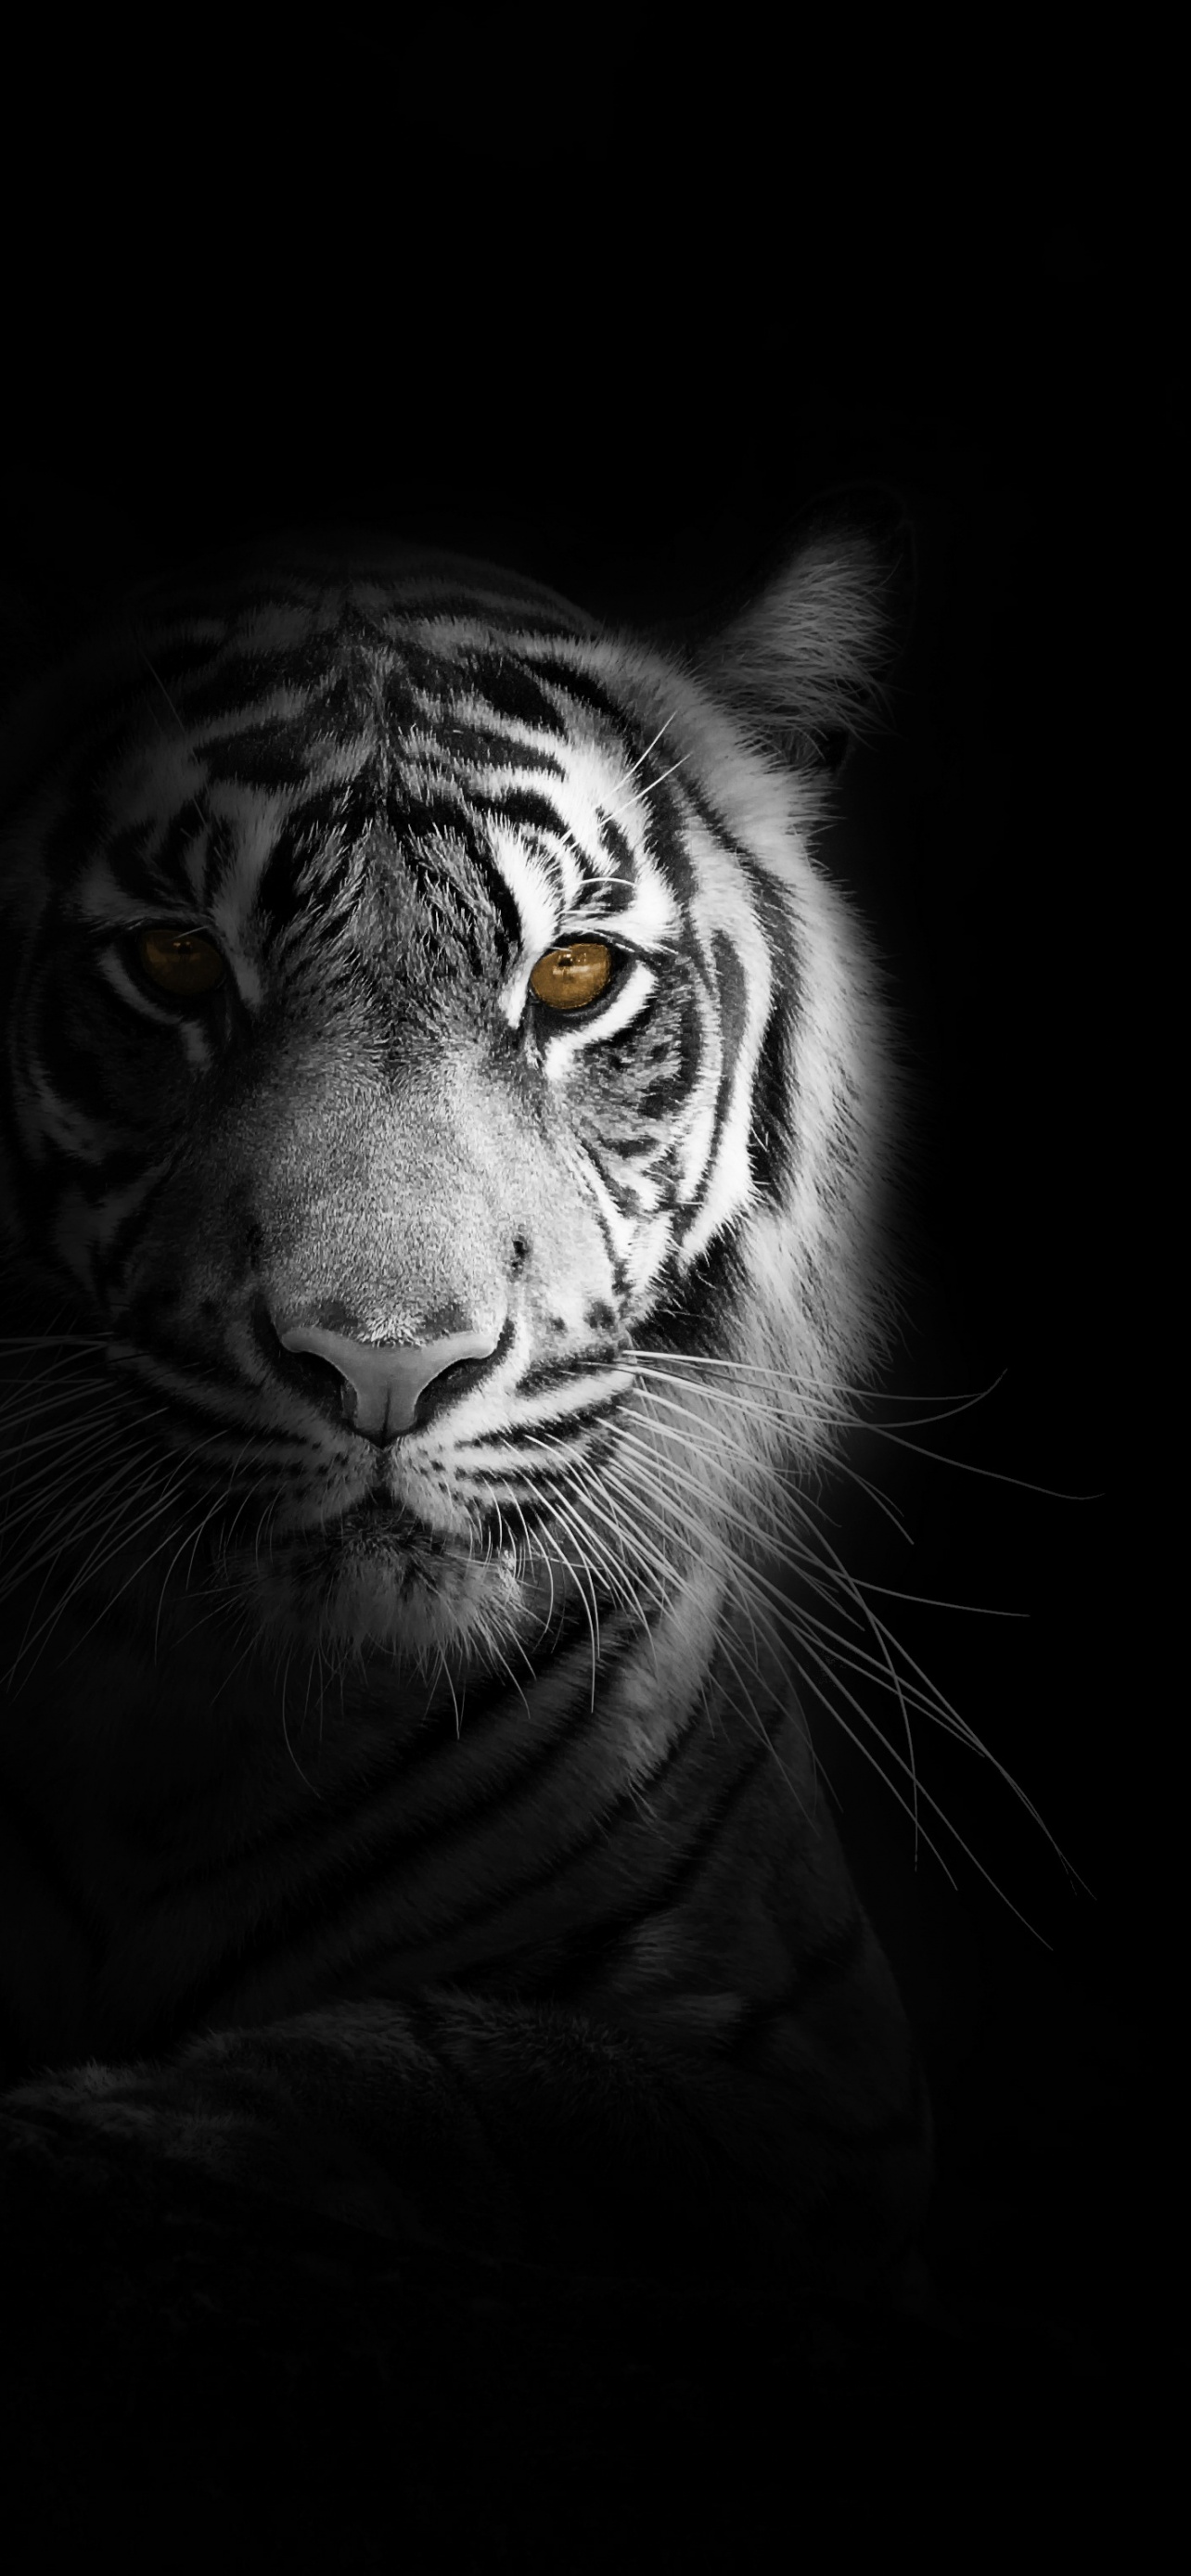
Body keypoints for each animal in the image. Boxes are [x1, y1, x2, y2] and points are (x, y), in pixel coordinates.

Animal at [0, 510, 934, 2300]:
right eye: (172, 959)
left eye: (570, 976)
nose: (384, 1360)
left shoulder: (828, 2087)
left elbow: (484, 2082)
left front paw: (130, 2119)